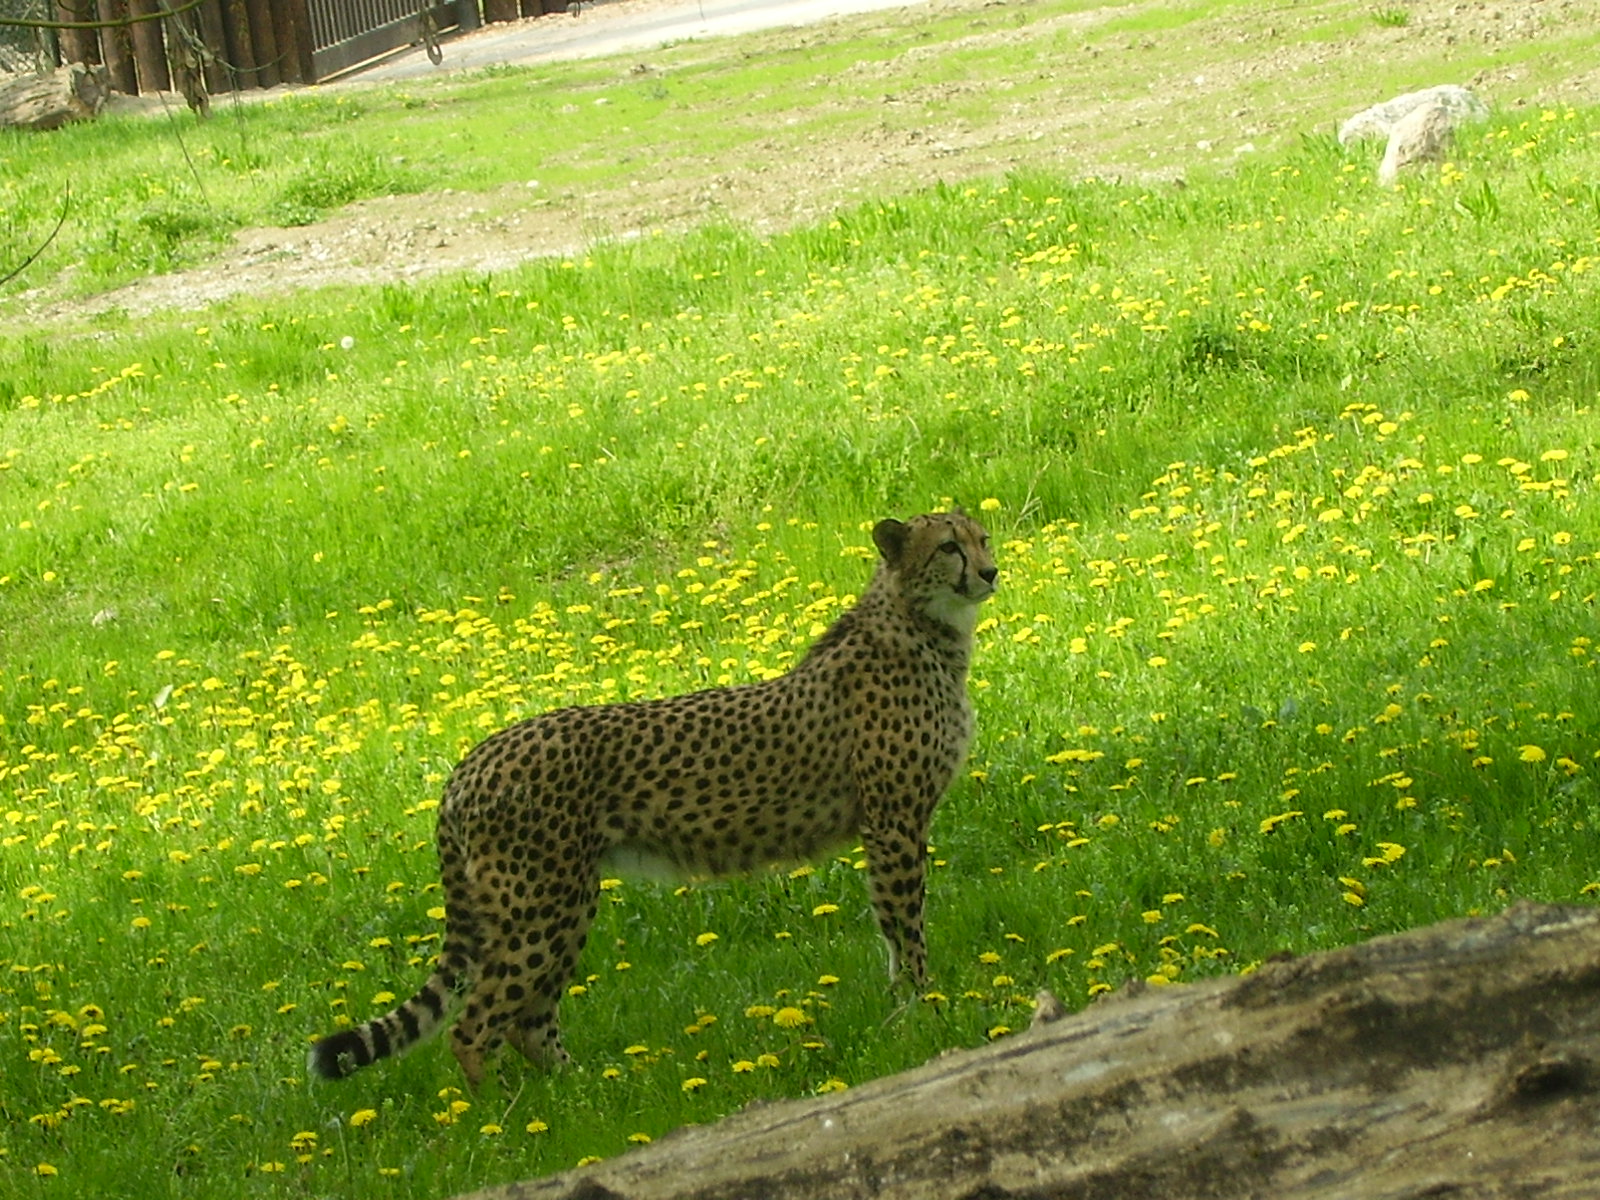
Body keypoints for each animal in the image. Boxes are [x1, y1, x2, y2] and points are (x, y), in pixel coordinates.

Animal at [308, 511, 997, 1089]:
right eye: (949, 547)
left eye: (983, 537)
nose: (990, 571)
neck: (921, 625)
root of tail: (470, 762)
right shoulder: (893, 822)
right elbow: (904, 924)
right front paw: (925, 1009)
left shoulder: (888, 824)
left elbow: (893, 928)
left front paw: (908, 1007)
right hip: (539, 903)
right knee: (476, 1025)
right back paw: (505, 1123)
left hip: (562, 900)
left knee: (530, 1018)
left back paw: (585, 1097)